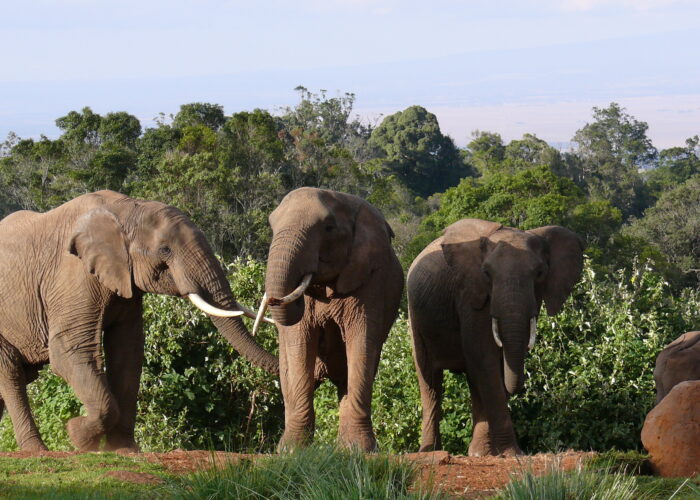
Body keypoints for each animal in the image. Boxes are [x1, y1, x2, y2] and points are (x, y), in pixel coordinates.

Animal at [0, 190, 278, 454]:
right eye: (165, 250)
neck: (126, 209)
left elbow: (127, 354)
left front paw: (123, 448)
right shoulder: (71, 277)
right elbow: (70, 352)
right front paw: (78, 435)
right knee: (12, 375)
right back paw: (36, 449)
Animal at [252, 186, 404, 452]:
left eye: (328, 228)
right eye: (271, 226)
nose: (274, 300)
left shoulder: (371, 282)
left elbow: (362, 341)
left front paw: (360, 450)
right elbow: (299, 342)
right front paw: (292, 450)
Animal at [408, 219, 584, 458]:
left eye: (540, 273)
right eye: (487, 273)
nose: (520, 388)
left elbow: (495, 364)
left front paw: (495, 453)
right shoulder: (470, 293)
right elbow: (484, 357)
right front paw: (512, 453)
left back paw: (479, 453)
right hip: (415, 317)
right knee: (430, 381)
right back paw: (430, 452)